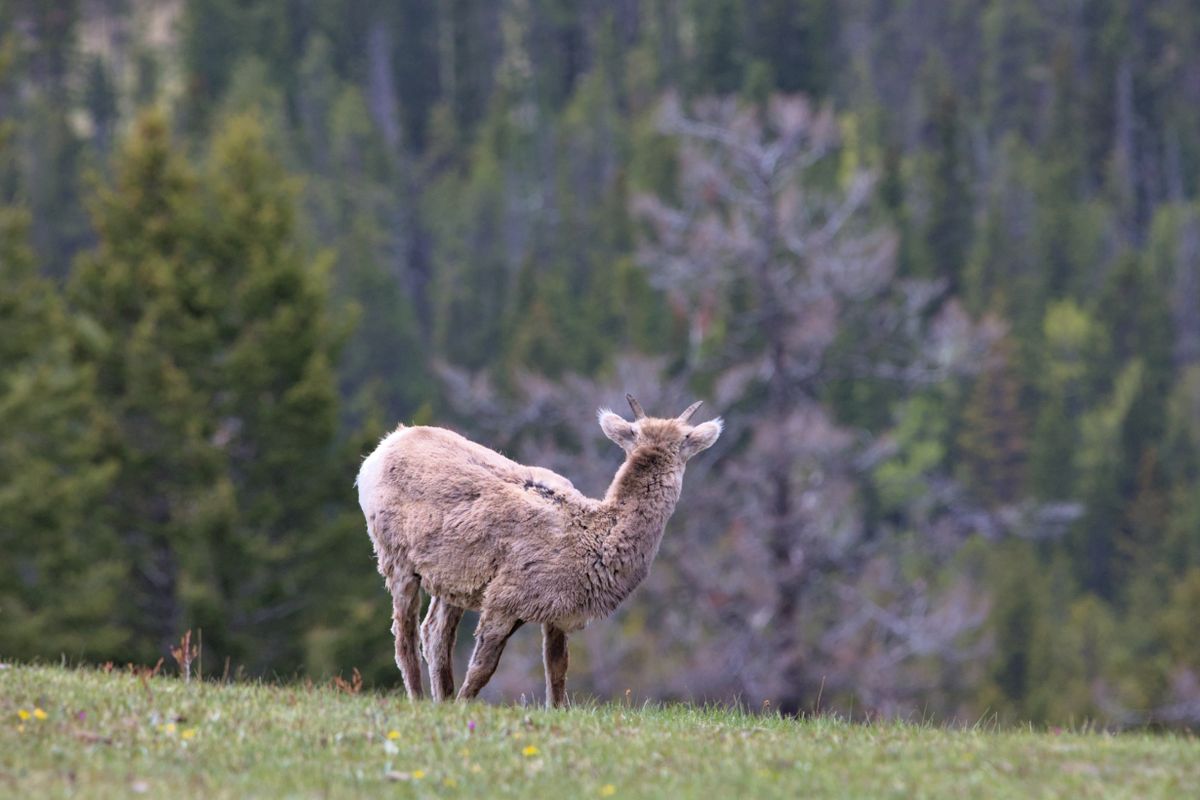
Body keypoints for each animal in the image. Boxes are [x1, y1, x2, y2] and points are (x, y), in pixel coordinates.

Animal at [355, 394, 723, 708]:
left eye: (684, 436)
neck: (593, 540)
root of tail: (380, 450)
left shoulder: (557, 613)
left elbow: (557, 673)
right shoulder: (504, 598)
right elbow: (483, 669)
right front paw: (463, 707)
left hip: (451, 581)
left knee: (434, 634)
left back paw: (440, 701)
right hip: (395, 557)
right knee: (404, 636)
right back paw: (421, 701)